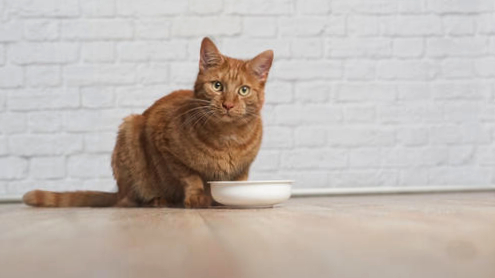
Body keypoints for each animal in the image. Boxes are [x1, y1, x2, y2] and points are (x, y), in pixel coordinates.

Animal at [23, 37, 276, 207]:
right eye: (217, 86)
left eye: (243, 90)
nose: (228, 105)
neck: (227, 137)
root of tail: (119, 190)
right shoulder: (164, 144)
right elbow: (190, 176)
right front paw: (197, 197)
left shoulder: (244, 168)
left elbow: (237, 181)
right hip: (130, 129)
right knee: (127, 201)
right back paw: (158, 200)